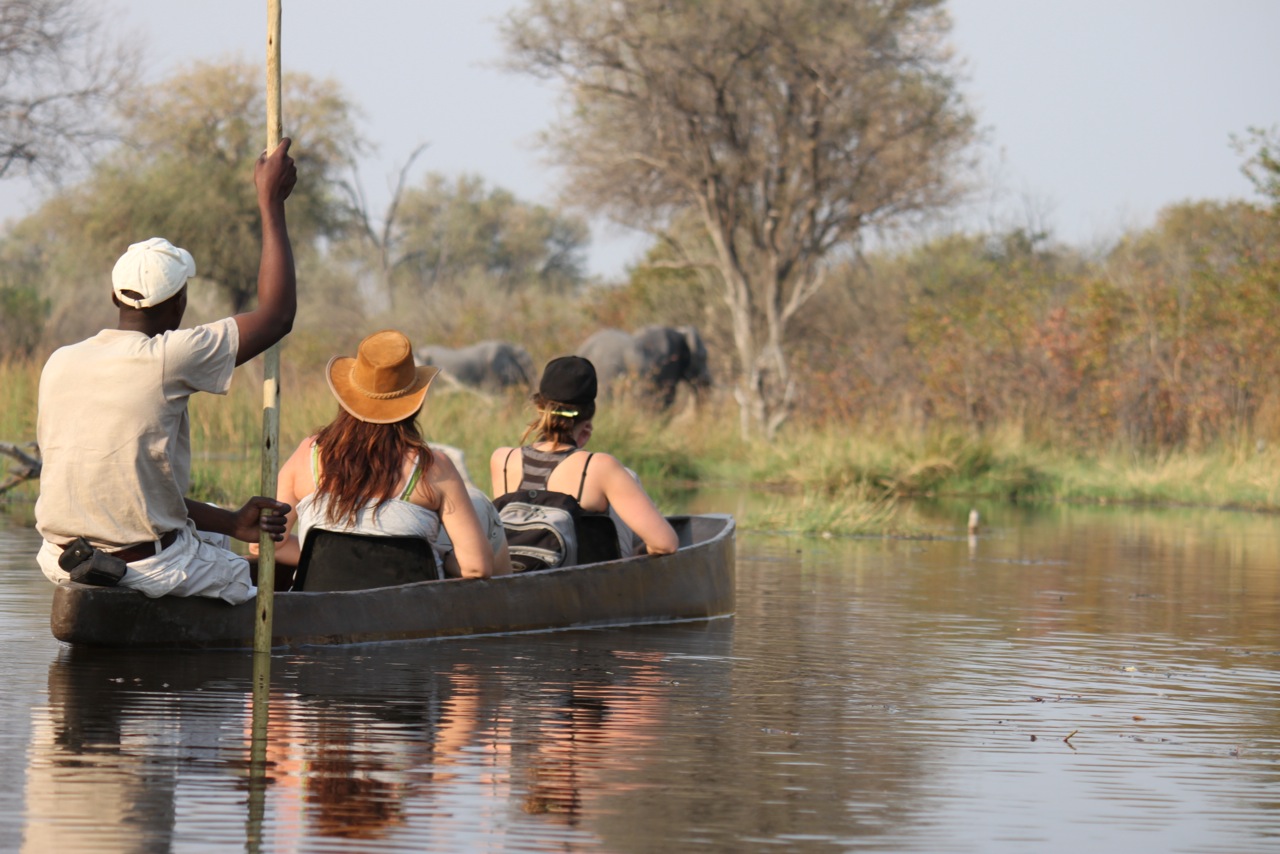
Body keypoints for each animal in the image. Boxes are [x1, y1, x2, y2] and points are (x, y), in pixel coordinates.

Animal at [576, 325, 711, 410]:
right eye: (704, 357)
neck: (680, 332)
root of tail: (584, 348)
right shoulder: (669, 366)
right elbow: (667, 398)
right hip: (605, 374)